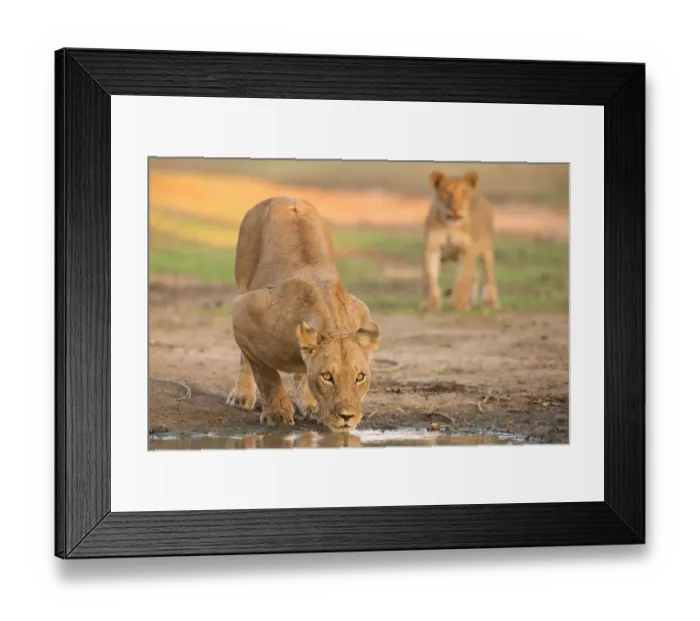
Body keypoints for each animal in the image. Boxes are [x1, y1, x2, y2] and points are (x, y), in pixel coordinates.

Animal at [226, 197, 380, 433]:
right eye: (327, 377)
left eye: (360, 377)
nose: (347, 416)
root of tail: (282, 197)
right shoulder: (244, 309)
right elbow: (266, 374)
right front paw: (278, 413)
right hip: (243, 279)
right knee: (247, 358)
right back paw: (242, 394)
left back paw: (309, 403)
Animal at [420, 170, 501, 312]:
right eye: (447, 192)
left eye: (464, 192)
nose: (455, 210)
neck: (450, 226)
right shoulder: (432, 248)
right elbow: (430, 278)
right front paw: (431, 304)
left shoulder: (467, 250)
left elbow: (463, 278)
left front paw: (458, 304)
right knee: (474, 274)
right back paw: (470, 301)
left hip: (486, 250)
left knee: (488, 276)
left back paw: (491, 302)